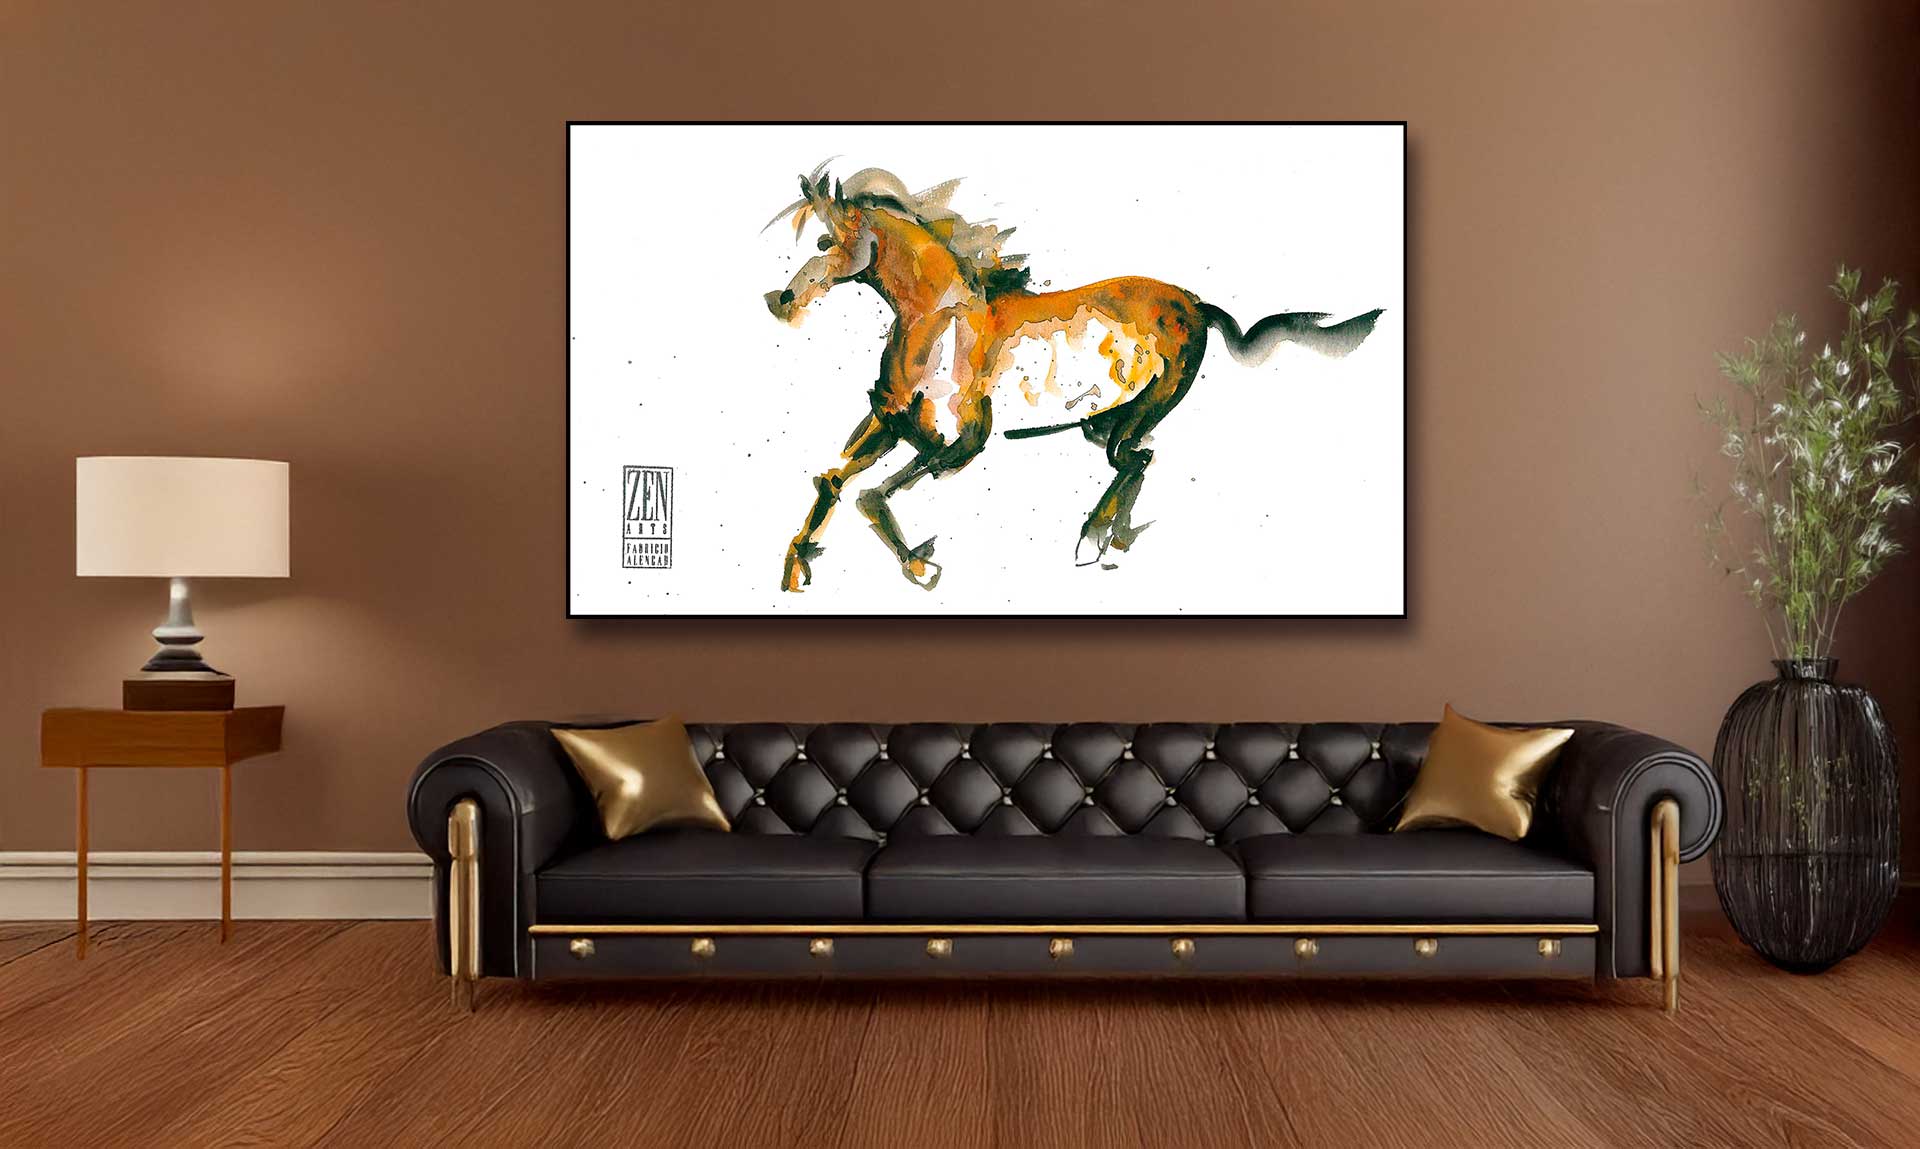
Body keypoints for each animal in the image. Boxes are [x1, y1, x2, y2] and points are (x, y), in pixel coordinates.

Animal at [764, 164, 1382, 593]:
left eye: (824, 242)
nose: (781, 301)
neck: (939, 322)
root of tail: (1195, 303)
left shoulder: (960, 445)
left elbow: (871, 494)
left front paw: (920, 566)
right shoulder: (890, 423)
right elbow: (833, 480)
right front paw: (795, 569)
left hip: (1141, 410)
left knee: (1134, 459)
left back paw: (1092, 539)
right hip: (1101, 420)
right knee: (1138, 460)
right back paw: (1109, 537)